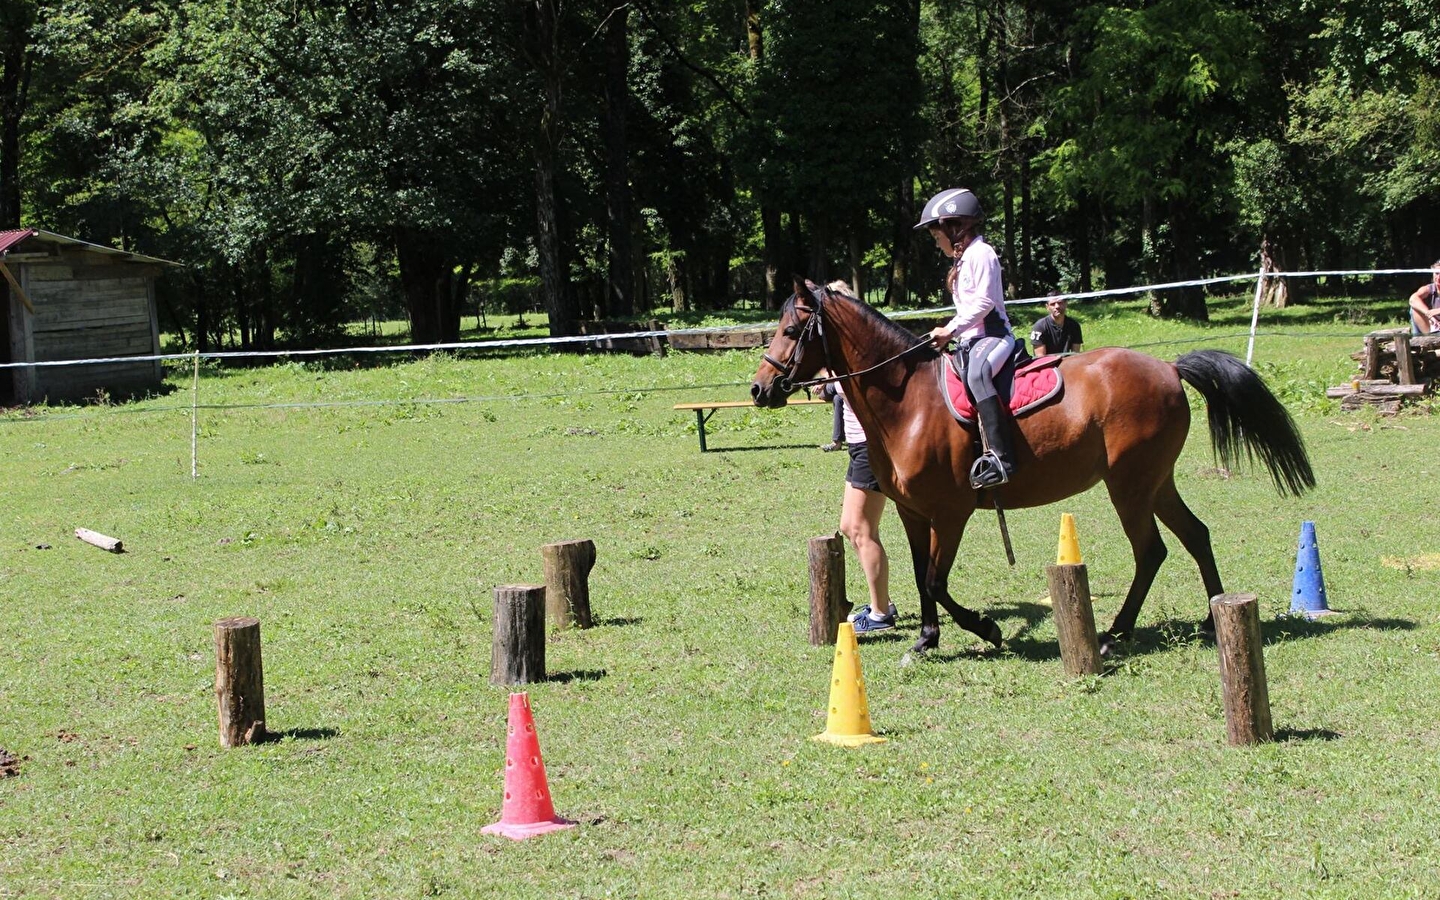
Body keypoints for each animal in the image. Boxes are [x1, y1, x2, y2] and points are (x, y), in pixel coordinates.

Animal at [754, 277, 1319, 656]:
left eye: (792, 328)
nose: (760, 389)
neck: (907, 400)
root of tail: (1168, 367)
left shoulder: (951, 512)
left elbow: (936, 580)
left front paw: (987, 629)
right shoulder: (913, 512)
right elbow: (920, 575)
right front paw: (928, 639)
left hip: (1130, 486)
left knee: (1151, 551)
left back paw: (1114, 634)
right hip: (1155, 482)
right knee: (1196, 535)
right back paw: (1208, 618)